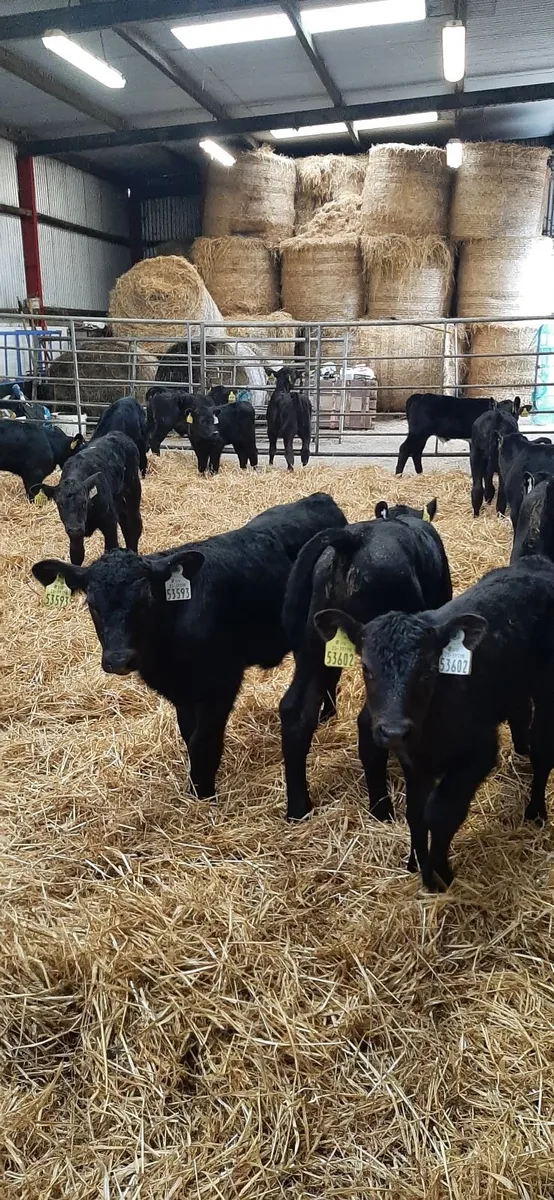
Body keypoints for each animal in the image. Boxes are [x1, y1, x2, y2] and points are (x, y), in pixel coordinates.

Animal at [32, 493, 346, 800]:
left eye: (145, 599)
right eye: (92, 604)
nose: (119, 659)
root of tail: (320, 498)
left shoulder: (221, 683)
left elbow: (203, 741)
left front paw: (203, 794)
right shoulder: (181, 692)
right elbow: (188, 733)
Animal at [37, 431, 142, 565]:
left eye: (84, 502)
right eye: (59, 504)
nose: (75, 529)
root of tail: (117, 433)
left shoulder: (109, 523)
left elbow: (111, 548)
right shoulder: (74, 534)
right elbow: (77, 555)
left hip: (133, 486)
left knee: (134, 521)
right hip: (117, 498)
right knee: (124, 518)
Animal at [279, 504, 452, 821]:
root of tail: (351, 541)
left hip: (312, 648)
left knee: (296, 713)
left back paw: (299, 808)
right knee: (368, 723)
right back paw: (382, 809)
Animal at [314, 556, 554, 890]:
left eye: (428, 669)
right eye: (366, 669)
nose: (393, 730)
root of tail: (536, 564)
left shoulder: (478, 754)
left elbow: (439, 813)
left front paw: (438, 875)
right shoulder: (414, 762)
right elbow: (415, 812)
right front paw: (415, 863)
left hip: (547, 691)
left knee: (544, 750)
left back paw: (535, 811)